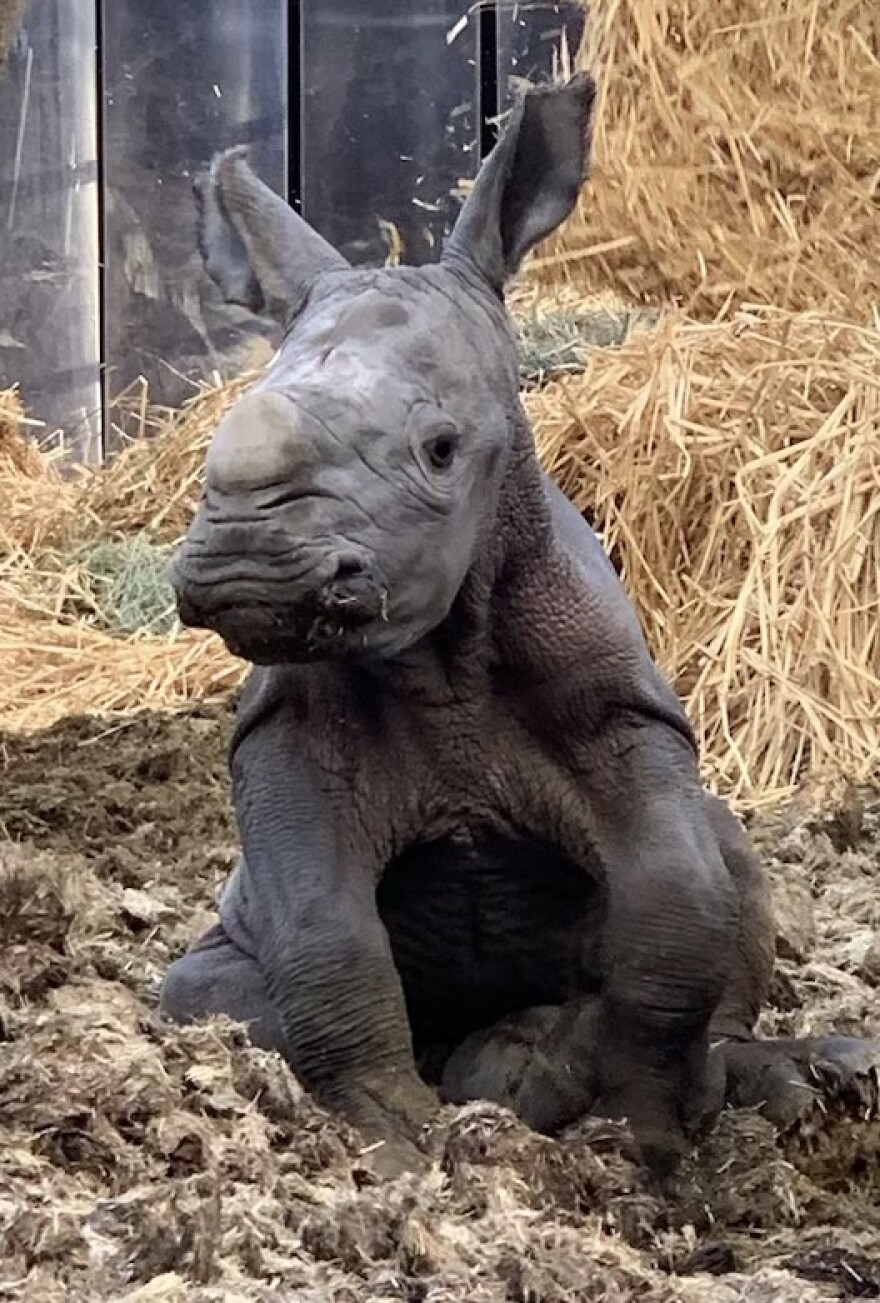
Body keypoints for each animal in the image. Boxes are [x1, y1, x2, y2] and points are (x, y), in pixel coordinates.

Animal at [160, 71, 880, 1177]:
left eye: (441, 449)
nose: (247, 564)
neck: (438, 660)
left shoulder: (623, 716)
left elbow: (681, 903)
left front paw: (642, 1132)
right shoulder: (280, 741)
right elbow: (324, 940)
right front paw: (395, 1138)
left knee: (727, 867)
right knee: (210, 990)